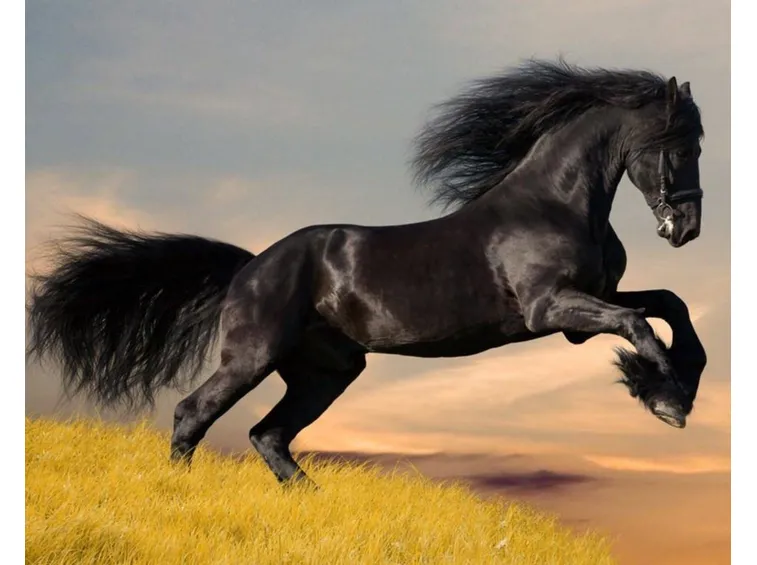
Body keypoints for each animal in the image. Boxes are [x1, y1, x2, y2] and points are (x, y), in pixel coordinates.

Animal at [27, 59, 707, 487]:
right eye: (680, 144)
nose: (687, 228)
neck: (555, 203)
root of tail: (251, 266)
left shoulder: (585, 307)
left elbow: (669, 304)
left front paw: (676, 384)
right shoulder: (552, 310)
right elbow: (638, 324)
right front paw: (665, 399)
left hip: (327, 371)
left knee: (268, 434)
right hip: (253, 356)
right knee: (194, 413)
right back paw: (181, 492)